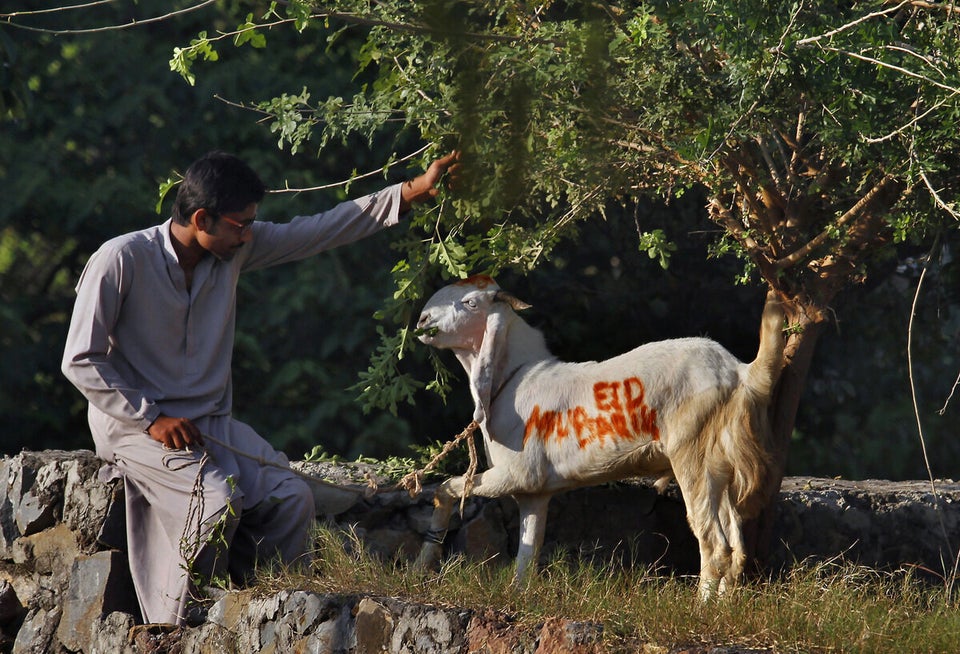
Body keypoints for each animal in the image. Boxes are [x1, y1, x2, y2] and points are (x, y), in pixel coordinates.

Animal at [416, 276, 784, 600]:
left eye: (471, 302)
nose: (422, 320)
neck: (515, 378)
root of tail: (739, 372)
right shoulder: (535, 490)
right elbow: (527, 553)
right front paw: (516, 596)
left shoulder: (515, 473)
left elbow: (446, 488)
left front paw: (423, 563)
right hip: (721, 465)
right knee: (736, 546)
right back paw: (724, 607)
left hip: (692, 454)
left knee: (714, 543)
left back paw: (701, 610)